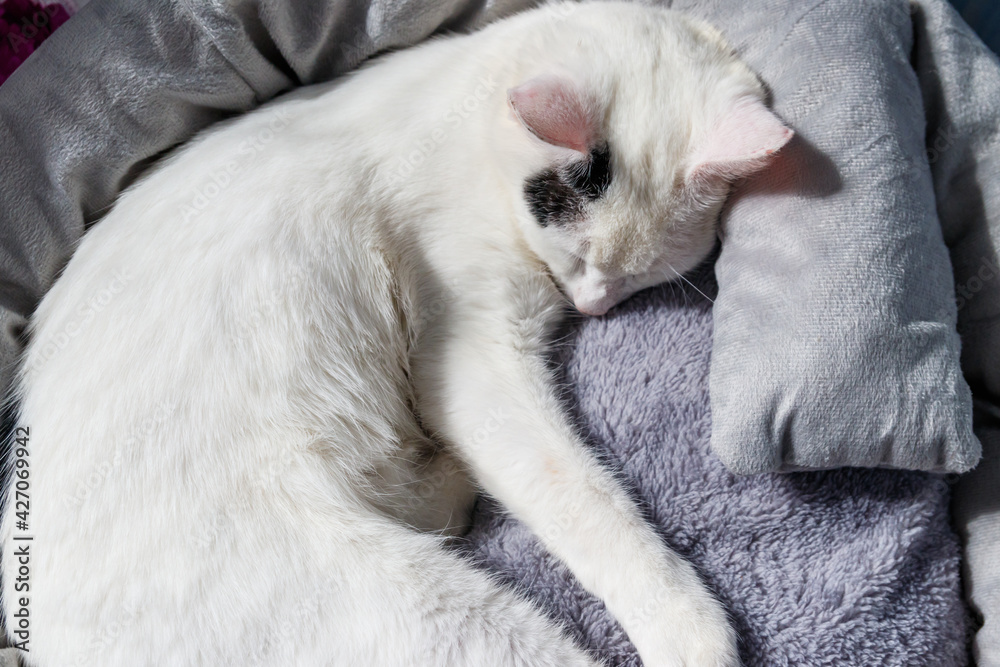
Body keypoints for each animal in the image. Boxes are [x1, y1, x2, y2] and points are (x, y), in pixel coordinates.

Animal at [3, 2, 792, 664]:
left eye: (637, 279)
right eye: (579, 258)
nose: (595, 305)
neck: (467, 103)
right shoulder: (473, 353)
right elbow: (585, 498)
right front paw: (689, 625)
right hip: (430, 615)